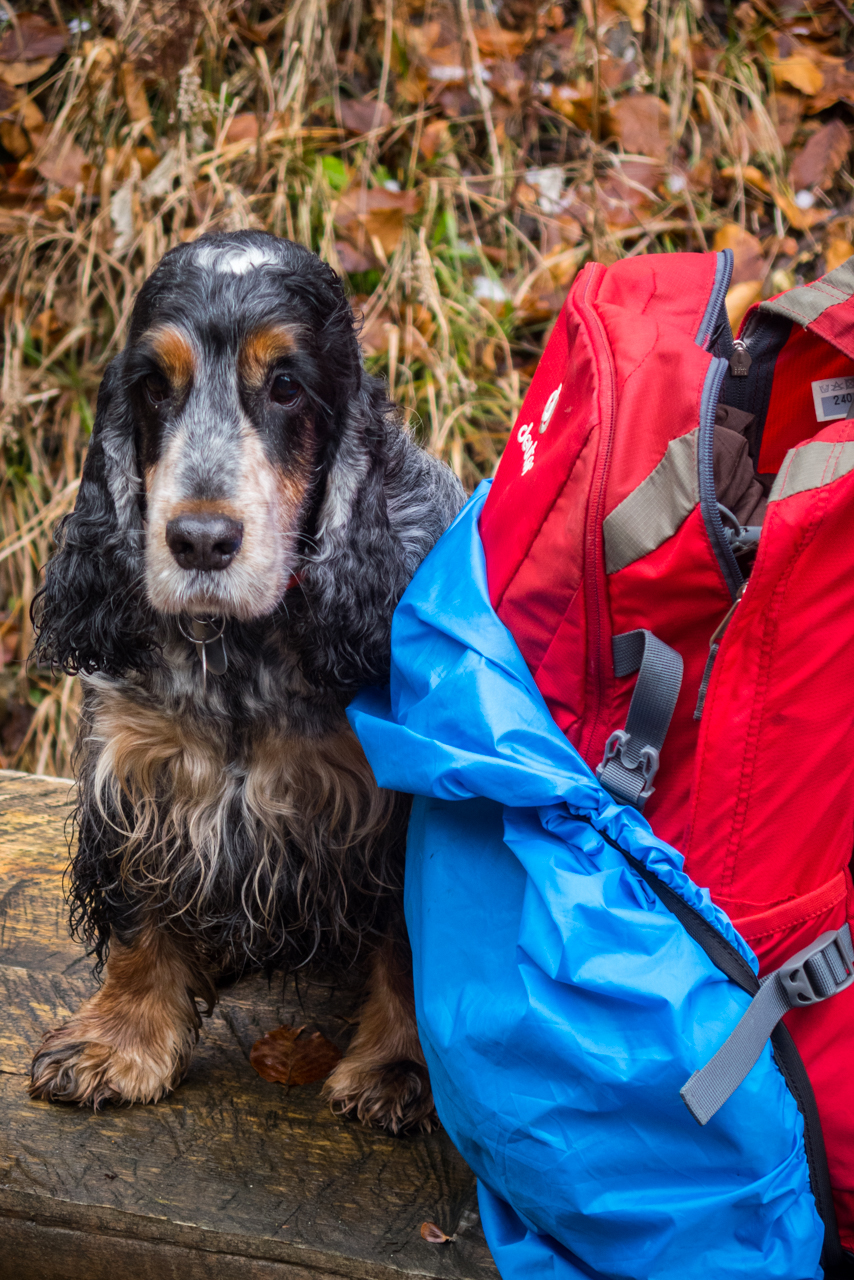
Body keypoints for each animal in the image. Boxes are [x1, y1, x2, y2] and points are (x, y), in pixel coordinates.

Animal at [30, 230, 463, 1131]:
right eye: (153, 386)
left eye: (287, 386)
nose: (199, 540)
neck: (239, 651)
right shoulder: (139, 773)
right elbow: (140, 915)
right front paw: (117, 1044)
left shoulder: (390, 811)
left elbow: (407, 942)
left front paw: (398, 1068)